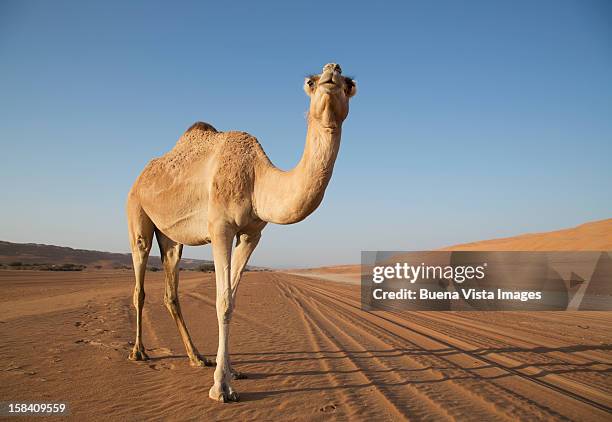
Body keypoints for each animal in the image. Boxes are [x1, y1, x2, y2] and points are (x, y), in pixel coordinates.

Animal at [125, 63, 354, 402]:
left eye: (350, 84)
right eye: (311, 82)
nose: (331, 70)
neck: (257, 178)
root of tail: (140, 176)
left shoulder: (251, 234)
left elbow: (232, 298)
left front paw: (230, 371)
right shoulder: (220, 227)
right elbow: (222, 302)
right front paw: (221, 387)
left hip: (171, 237)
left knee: (170, 289)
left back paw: (197, 357)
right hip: (137, 212)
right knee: (140, 281)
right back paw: (138, 352)